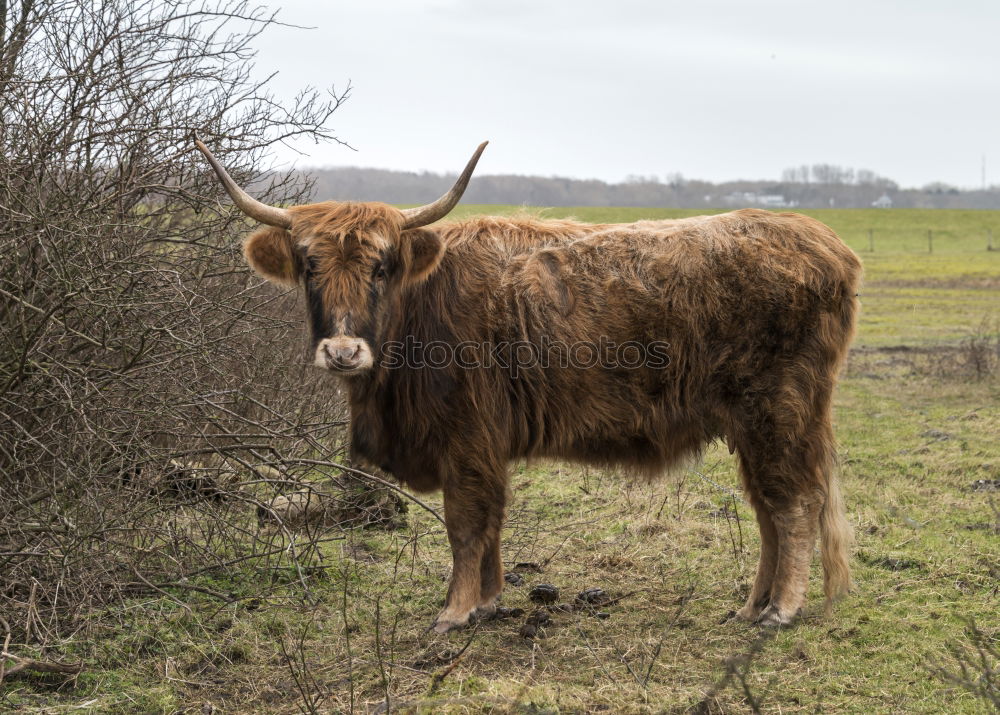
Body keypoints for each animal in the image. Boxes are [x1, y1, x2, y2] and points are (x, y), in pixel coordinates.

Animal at [195, 138, 860, 632]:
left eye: (381, 267)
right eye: (309, 266)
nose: (341, 351)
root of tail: (824, 243)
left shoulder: (466, 439)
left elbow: (466, 523)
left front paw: (455, 612)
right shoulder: (483, 444)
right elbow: (489, 523)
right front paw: (487, 602)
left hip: (780, 412)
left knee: (793, 504)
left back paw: (781, 609)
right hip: (754, 425)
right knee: (768, 508)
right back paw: (750, 607)